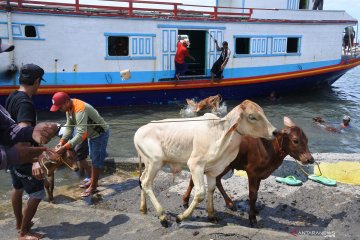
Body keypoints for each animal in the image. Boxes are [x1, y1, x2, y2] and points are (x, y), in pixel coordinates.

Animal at [134, 99, 278, 227]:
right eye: (252, 117)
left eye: (263, 113)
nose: (275, 132)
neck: (220, 133)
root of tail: (139, 131)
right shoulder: (195, 165)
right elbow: (200, 193)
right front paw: (181, 217)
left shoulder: (213, 170)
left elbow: (211, 189)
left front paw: (211, 215)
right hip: (155, 162)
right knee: (146, 183)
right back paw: (162, 216)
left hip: (149, 163)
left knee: (142, 180)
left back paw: (143, 208)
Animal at [183, 117, 312, 226]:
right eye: (295, 140)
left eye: (307, 139)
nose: (310, 159)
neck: (271, 149)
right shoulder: (252, 172)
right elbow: (252, 195)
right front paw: (252, 217)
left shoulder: (259, 175)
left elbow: (256, 193)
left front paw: (255, 210)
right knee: (193, 179)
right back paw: (185, 201)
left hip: (226, 165)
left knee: (217, 180)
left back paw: (230, 203)